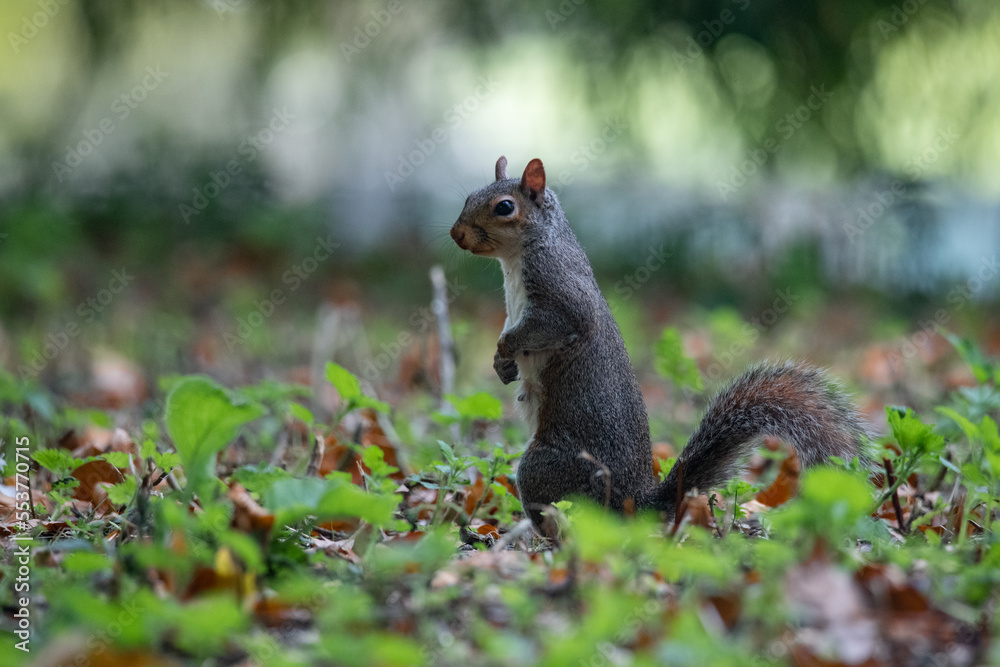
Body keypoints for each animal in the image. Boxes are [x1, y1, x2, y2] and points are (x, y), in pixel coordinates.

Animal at [450, 156, 872, 537]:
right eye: (468, 195)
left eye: (505, 207)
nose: (456, 234)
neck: (516, 261)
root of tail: (633, 503)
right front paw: (502, 364)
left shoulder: (561, 294)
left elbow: (545, 326)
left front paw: (506, 347)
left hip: (545, 469)